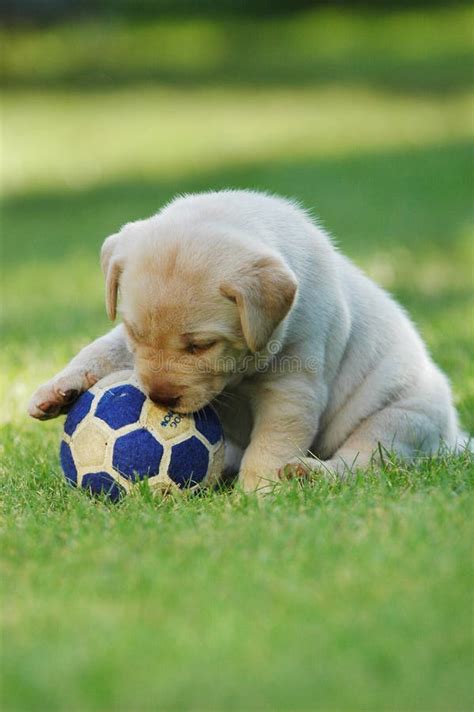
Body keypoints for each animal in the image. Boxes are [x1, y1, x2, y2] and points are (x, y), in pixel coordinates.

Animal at [28, 189, 462, 490]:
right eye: (137, 333)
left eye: (201, 346)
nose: (160, 399)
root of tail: (456, 437)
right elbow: (103, 349)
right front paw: (58, 391)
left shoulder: (293, 386)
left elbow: (272, 443)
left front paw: (258, 494)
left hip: (400, 419)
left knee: (362, 461)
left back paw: (310, 473)